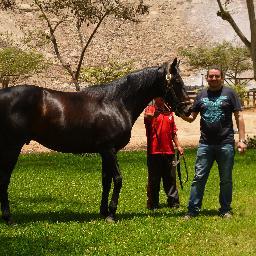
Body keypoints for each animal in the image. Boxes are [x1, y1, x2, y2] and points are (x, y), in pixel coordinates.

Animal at [0, 58, 192, 224]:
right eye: (177, 82)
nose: (188, 109)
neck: (115, 102)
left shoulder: (105, 152)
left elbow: (106, 181)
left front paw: (103, 212)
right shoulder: (109, 150)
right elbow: (118, 179)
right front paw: (112, 214)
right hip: (12, 148)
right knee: (4, 179)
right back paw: (9, 218)